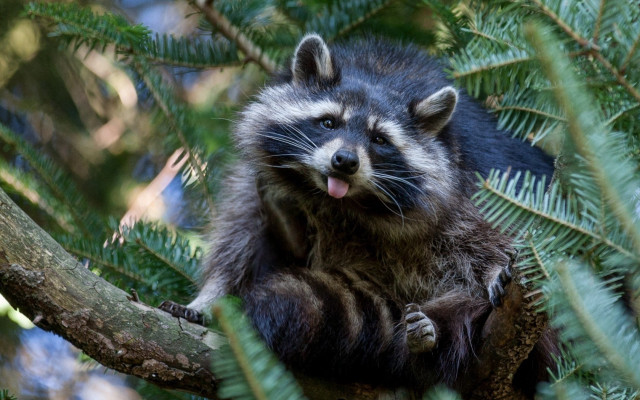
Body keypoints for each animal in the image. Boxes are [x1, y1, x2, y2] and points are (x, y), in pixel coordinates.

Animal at [161, 35, 555, 391]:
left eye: (379, 139)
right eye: (329, 122)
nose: (345, 161)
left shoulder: (470, 181)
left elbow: (489, 232)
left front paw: (492, 269)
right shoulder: (259, 177)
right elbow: (238, 236)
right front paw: (210, 297)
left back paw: (431, 335)